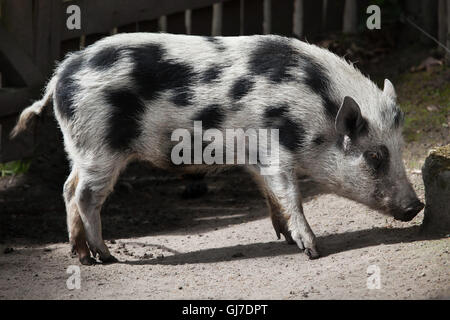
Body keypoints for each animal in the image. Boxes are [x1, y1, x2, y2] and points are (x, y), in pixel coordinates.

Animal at [11, 31, 426, 264]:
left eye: (400, 147)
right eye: (374, 155)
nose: (416, 206)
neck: (316, 109)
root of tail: (60, 76)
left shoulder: (256, 154)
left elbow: (270, 192)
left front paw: (281, 235)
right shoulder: (274, 146)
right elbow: (290, 193)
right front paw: (311, 249)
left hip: (79, 146)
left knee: (67, 188)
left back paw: (80, 256)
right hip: (100, 146)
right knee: (85, 195)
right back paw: (106, 257)